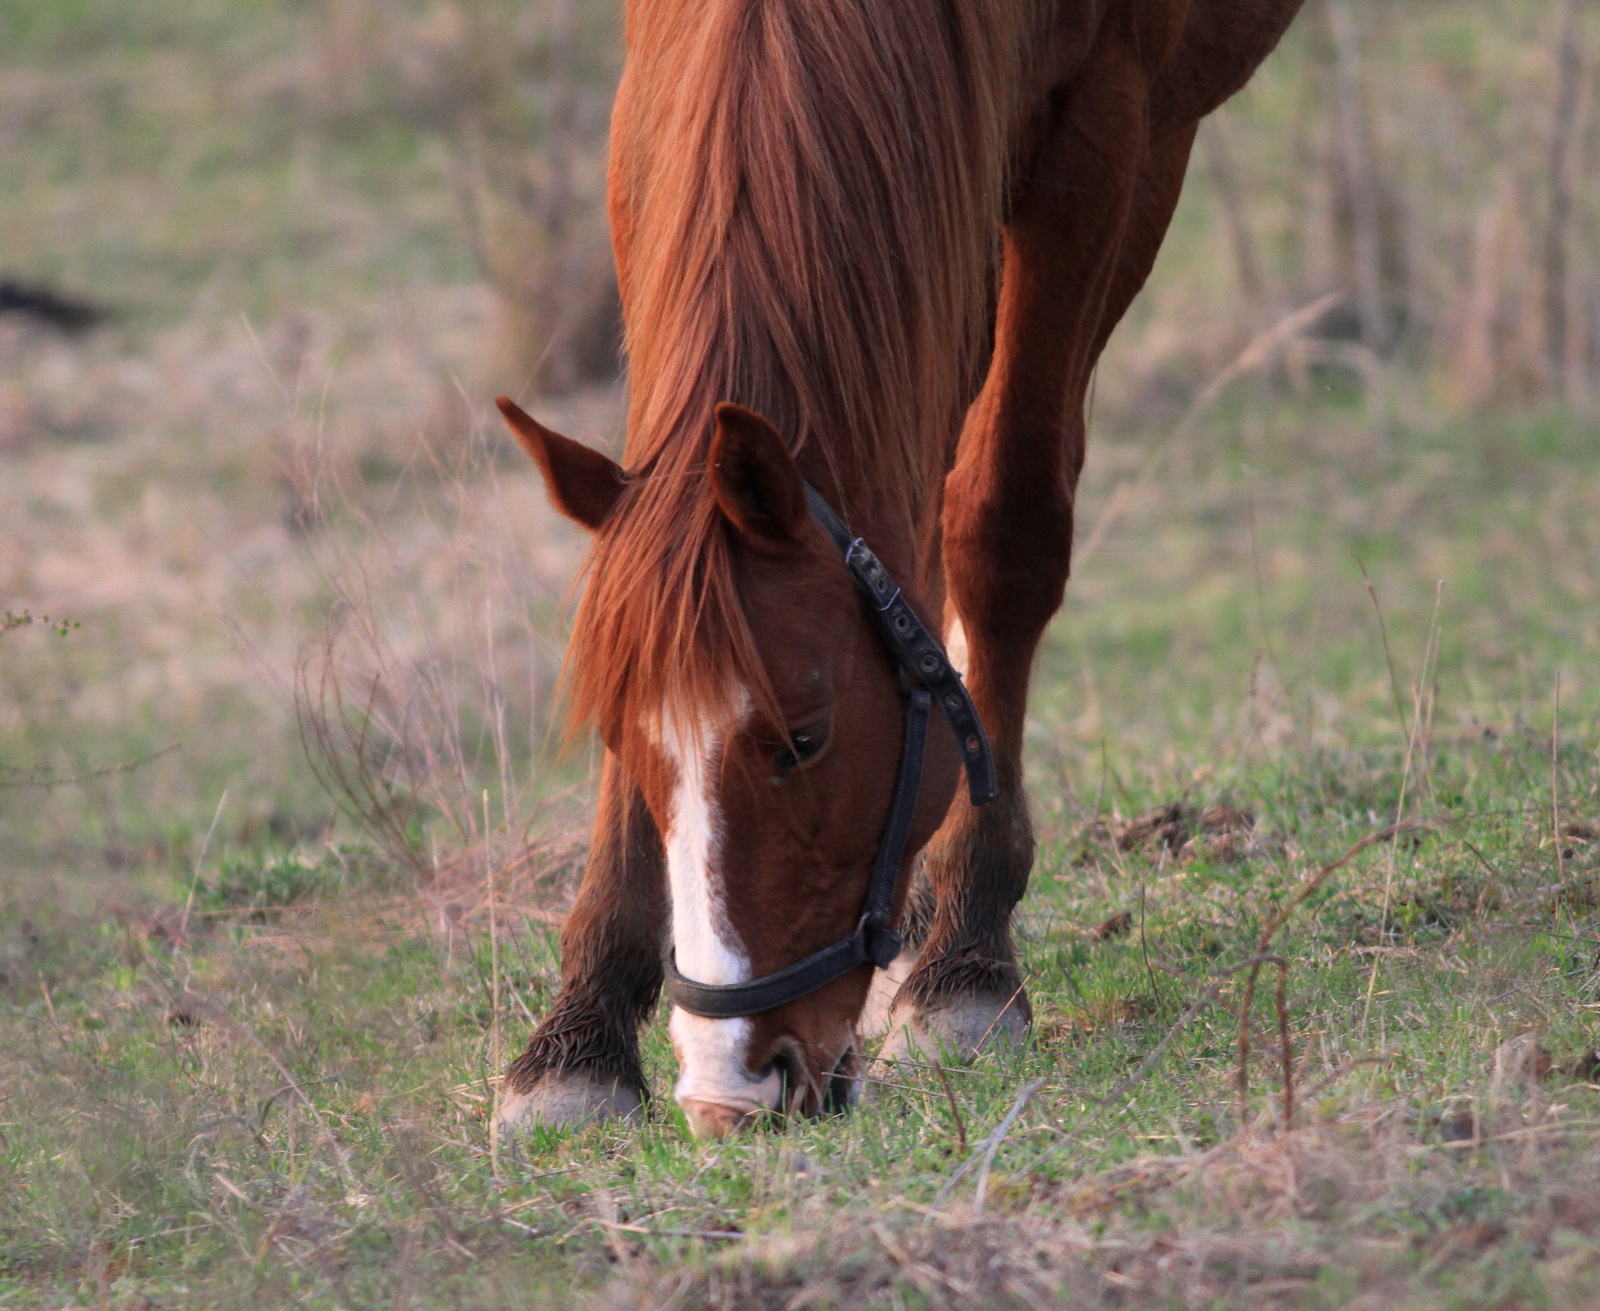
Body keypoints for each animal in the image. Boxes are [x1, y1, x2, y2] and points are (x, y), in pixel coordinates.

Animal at [492, 0, 1305, 1139]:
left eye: (803, 739)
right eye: (613, 731)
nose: (728, 1090)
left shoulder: (1109, 132)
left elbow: (1003, 525)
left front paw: (967, 960)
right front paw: (581, 1035)